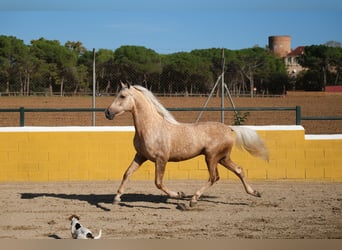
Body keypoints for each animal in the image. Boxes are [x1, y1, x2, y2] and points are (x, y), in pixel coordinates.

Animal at [105, 83, 268, 206]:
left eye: (122, 96)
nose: (108, 113)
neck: (151, 127)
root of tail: (229, 128)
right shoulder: (140, 156)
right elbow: (127, 173)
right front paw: (116, 198)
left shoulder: (161, 159)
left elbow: (158, 182)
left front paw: (179, 194)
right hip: (223, 158)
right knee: (238, 170)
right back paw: (255, 193)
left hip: (211, 157)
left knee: (214, 177)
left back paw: (193, 199)